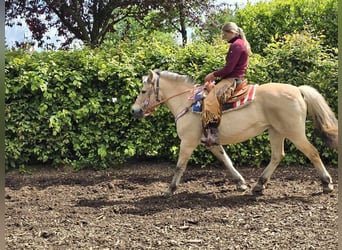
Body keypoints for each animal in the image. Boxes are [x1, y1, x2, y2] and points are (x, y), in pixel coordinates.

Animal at [131, 69, 336, 196]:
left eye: (143, 90)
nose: (134, 111)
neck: (186, 102)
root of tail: (298, 90)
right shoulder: (212, 143)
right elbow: (227, 161)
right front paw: (241, 183)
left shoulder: (187, 142)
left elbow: (179, 166)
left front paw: (170, 189)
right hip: (276, 131)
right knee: (278, 156)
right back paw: (259, 185)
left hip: (293, 132)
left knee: (312, 152)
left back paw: (326, 183)